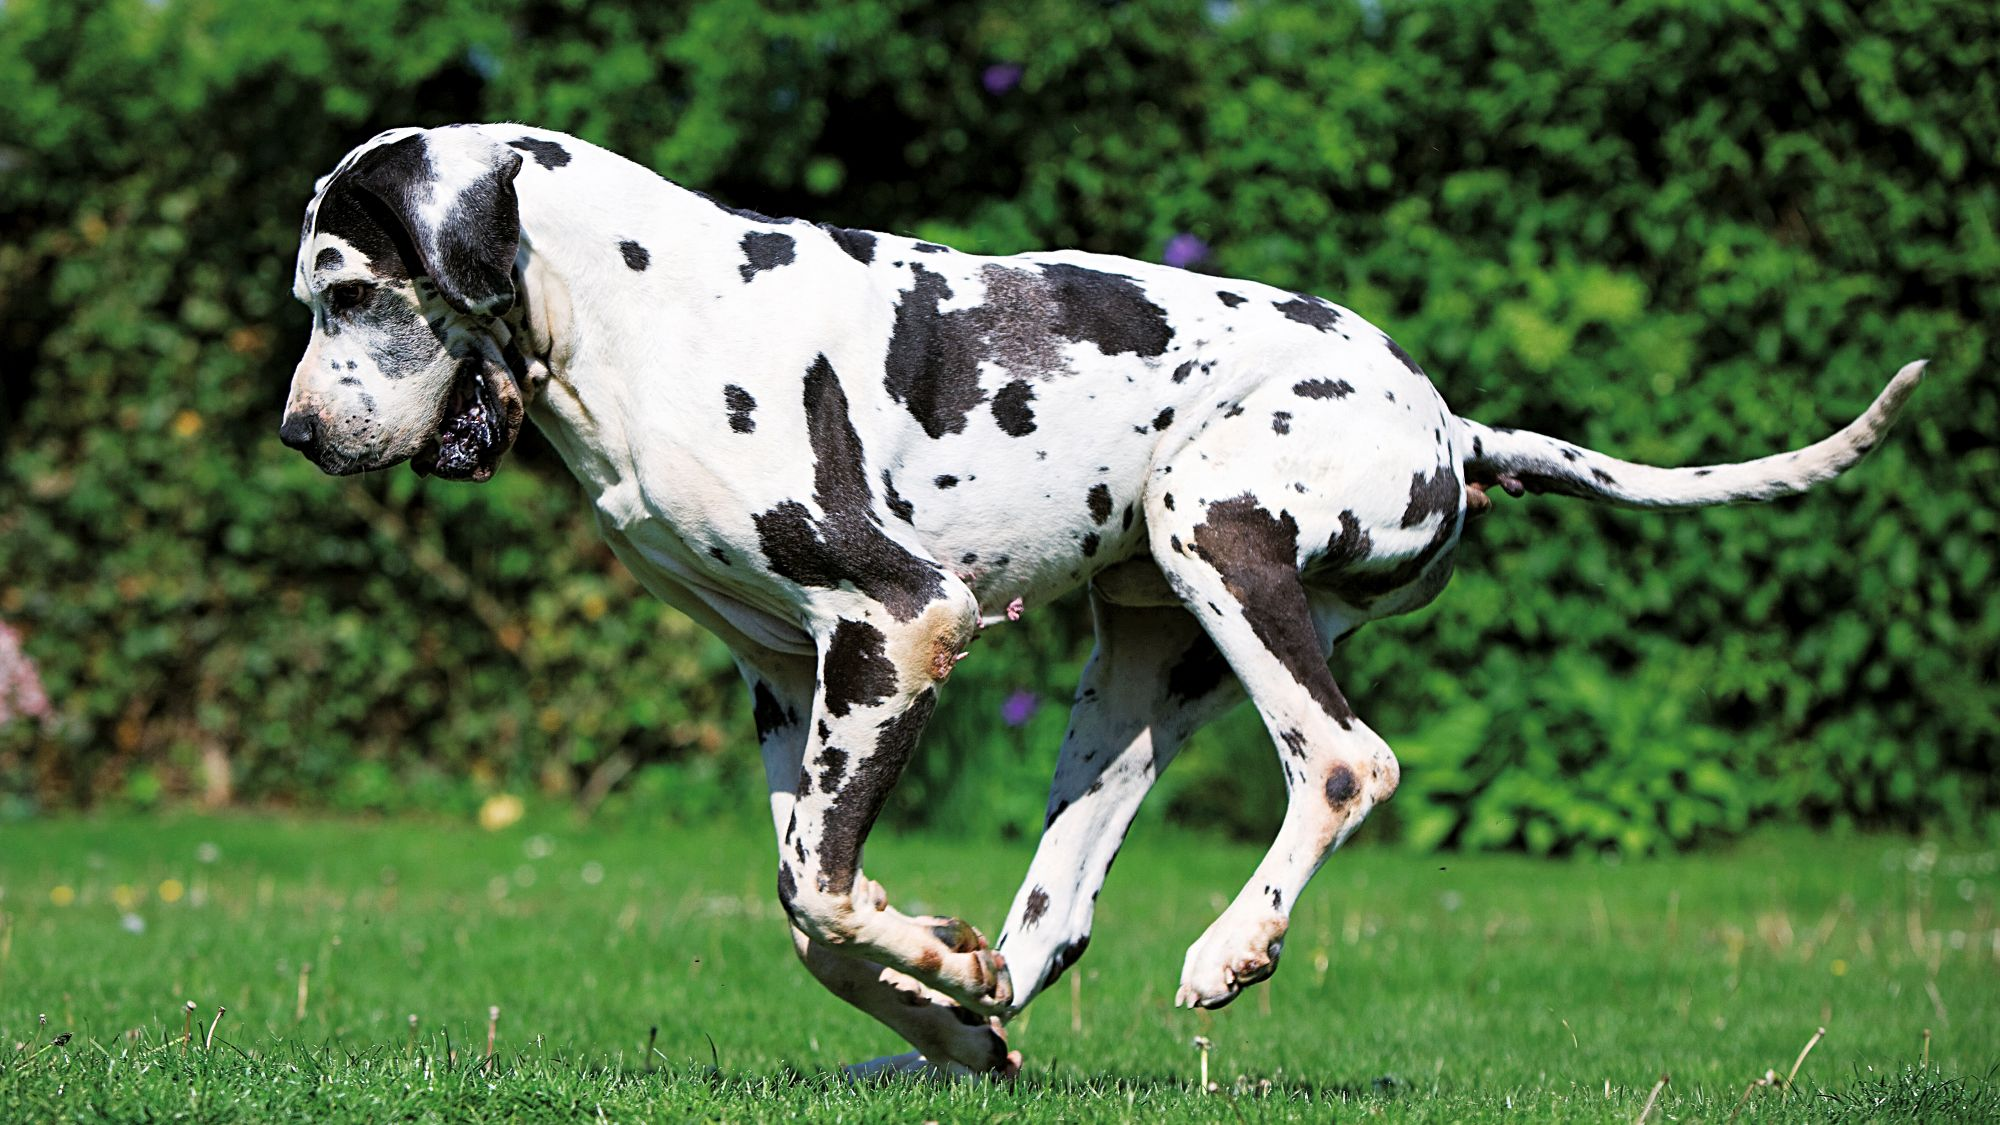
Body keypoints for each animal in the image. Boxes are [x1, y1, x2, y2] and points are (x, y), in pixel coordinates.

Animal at [282, 124, 1920, 1080]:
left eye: (346, 291)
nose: (298, 432)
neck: (642, 307)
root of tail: (1452, 426)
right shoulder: (788, 674)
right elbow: (813, 918)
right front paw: (939, 1001)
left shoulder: (903, 622)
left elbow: (817, 890)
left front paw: (929, 972)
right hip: (1139, 668)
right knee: (1054, 920)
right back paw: (951, 1036)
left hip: (1219, 538)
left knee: (1345, 761)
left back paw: (1229, 947)